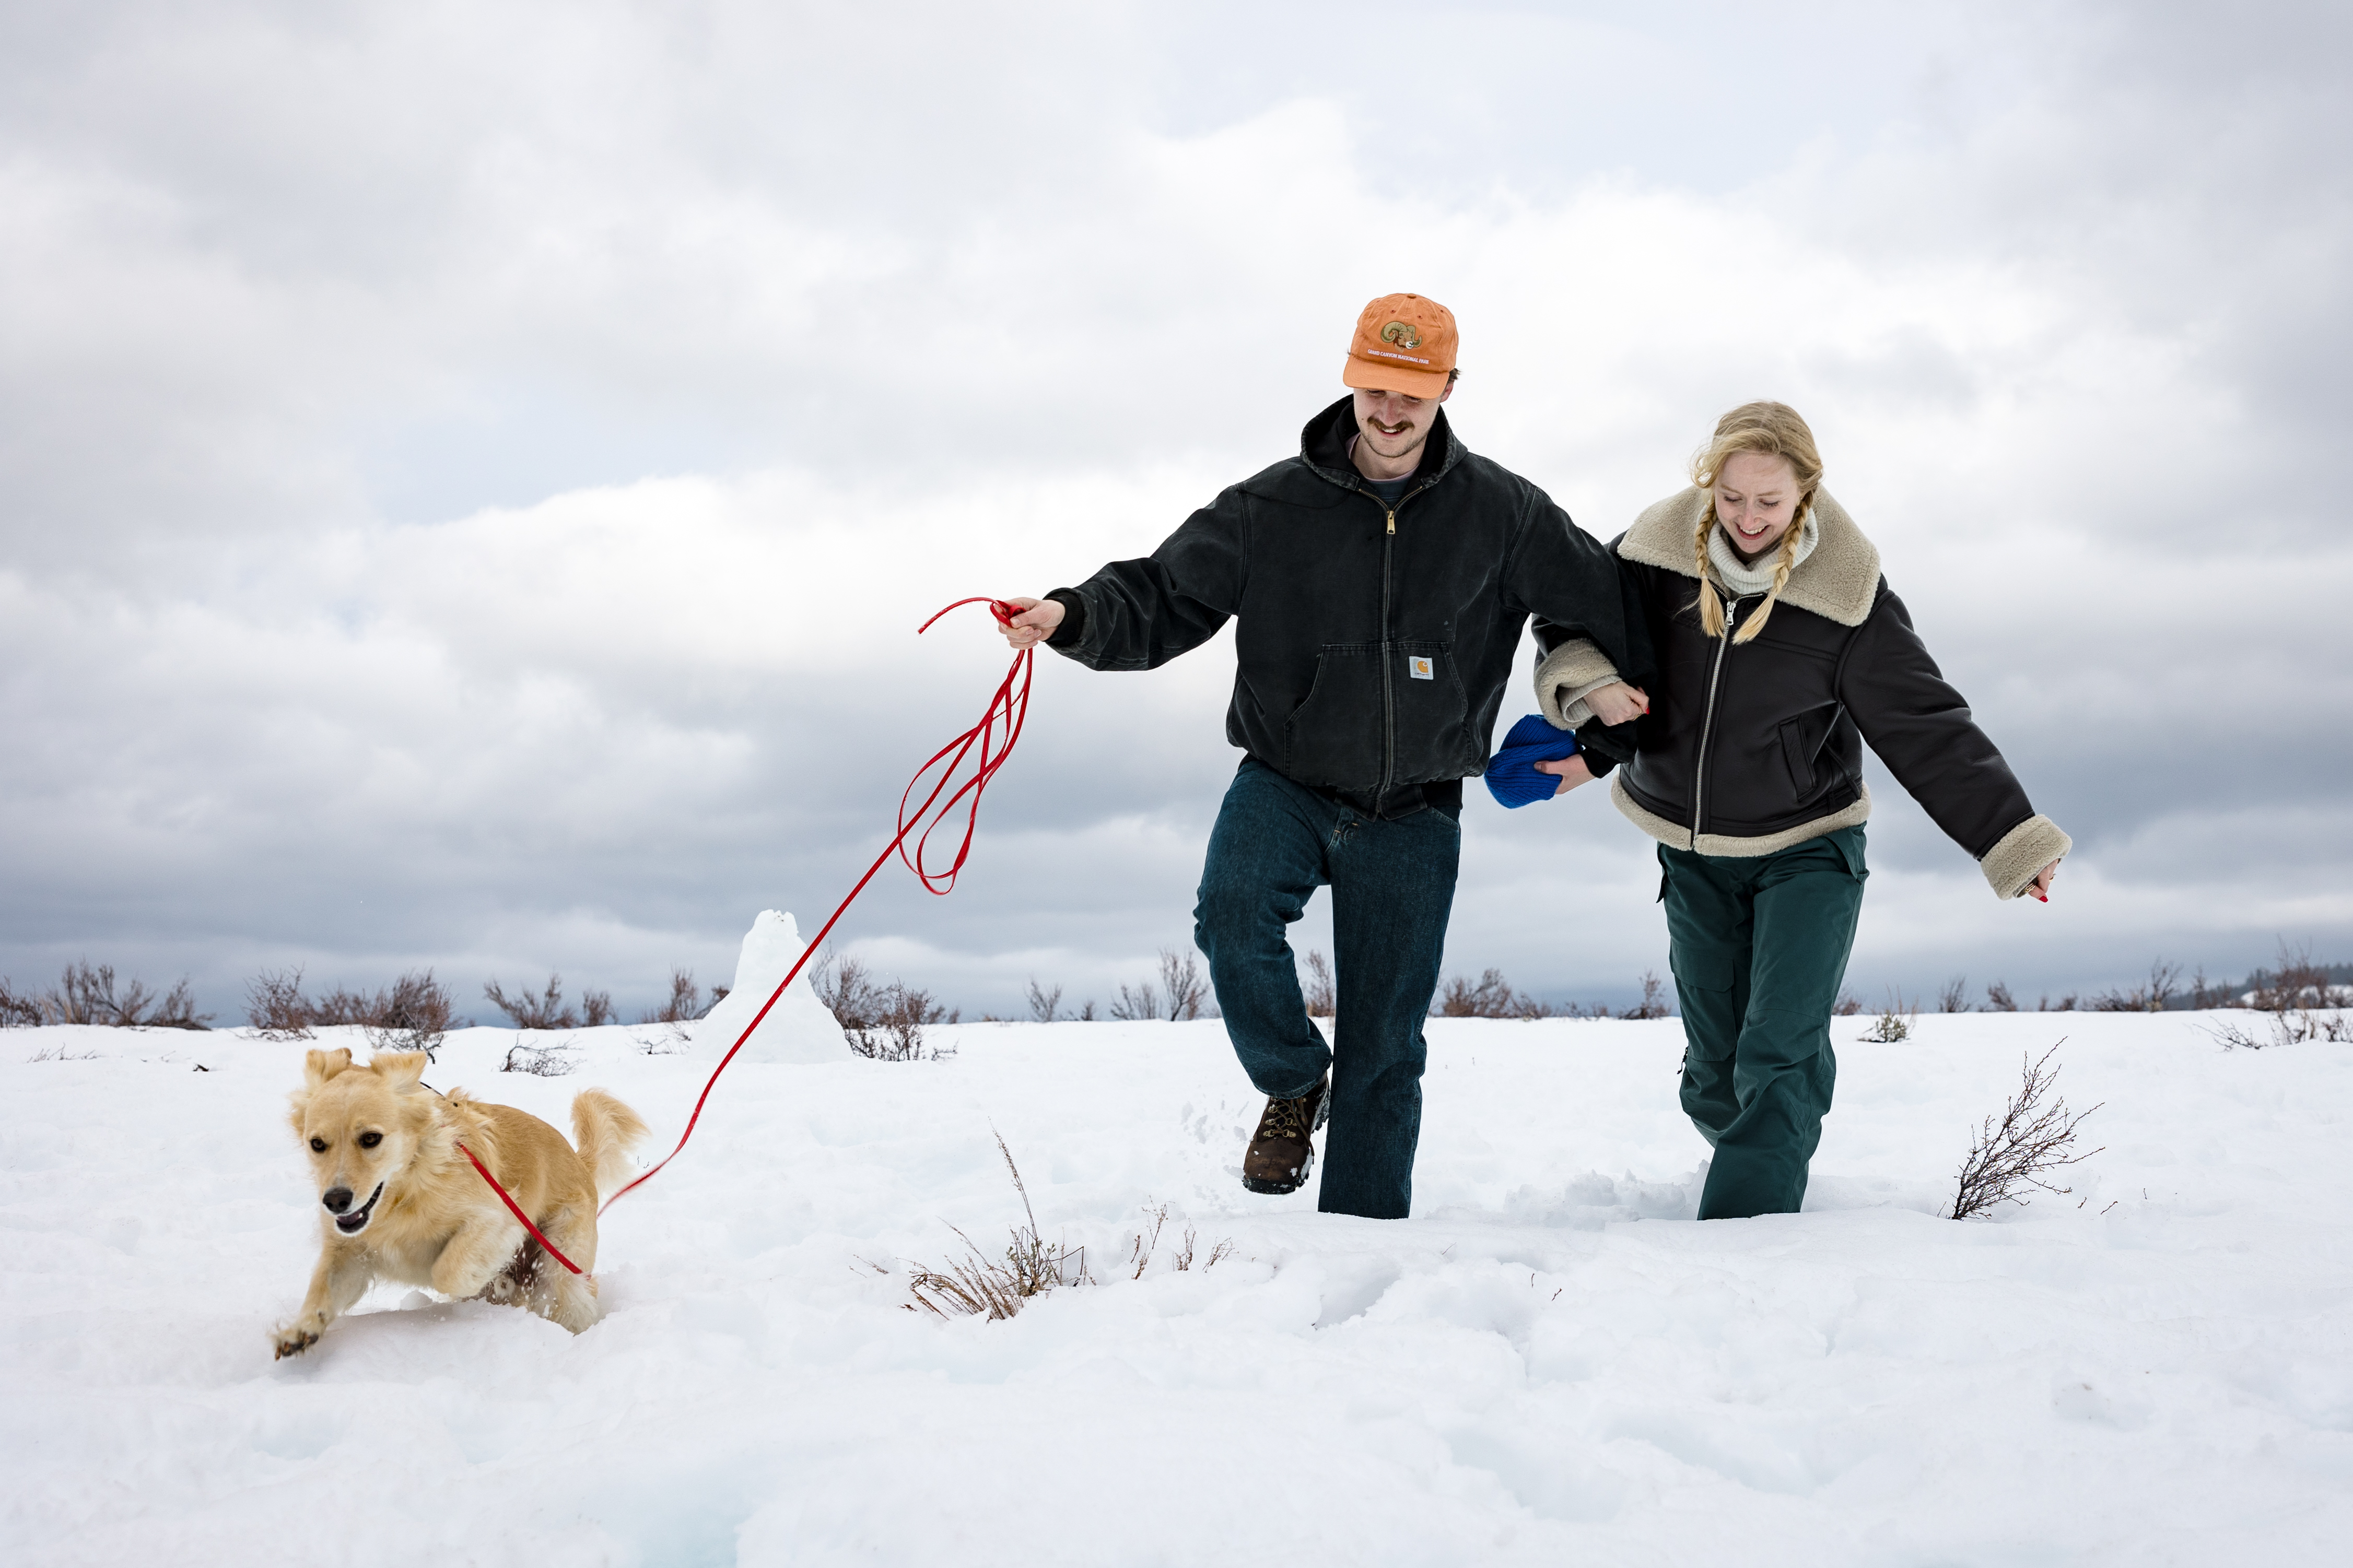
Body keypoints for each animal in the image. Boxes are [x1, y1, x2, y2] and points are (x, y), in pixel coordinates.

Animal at [273, 1048, 645, 1354]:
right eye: (317, 1144)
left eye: (370, 1139)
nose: (335, 1201)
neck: (404, 1191)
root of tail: (579, 1162)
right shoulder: (349, 1251)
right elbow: (323, 1285)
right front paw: (301, 1330)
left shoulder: (497, 1217)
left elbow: (446, 1272)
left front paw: (493, 1278)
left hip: (562, 1262)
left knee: (575, 1300)